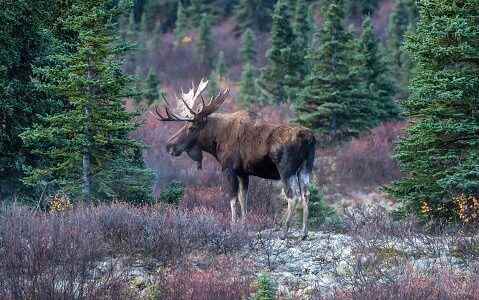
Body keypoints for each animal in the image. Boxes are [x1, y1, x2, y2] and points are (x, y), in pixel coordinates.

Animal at [154, 79, 316, 239]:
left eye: (191, 127)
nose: (170, 145)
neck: (216, 141)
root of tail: (309, 138)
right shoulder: (243, 172)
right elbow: (243, 198)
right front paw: (244, 224)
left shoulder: (229, 168)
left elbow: (232, 198)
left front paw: (233, 225)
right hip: (305, 168)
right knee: (306, 194)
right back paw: (304, 232)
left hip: (286, 170)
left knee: (293, 196)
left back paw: (284, 231)